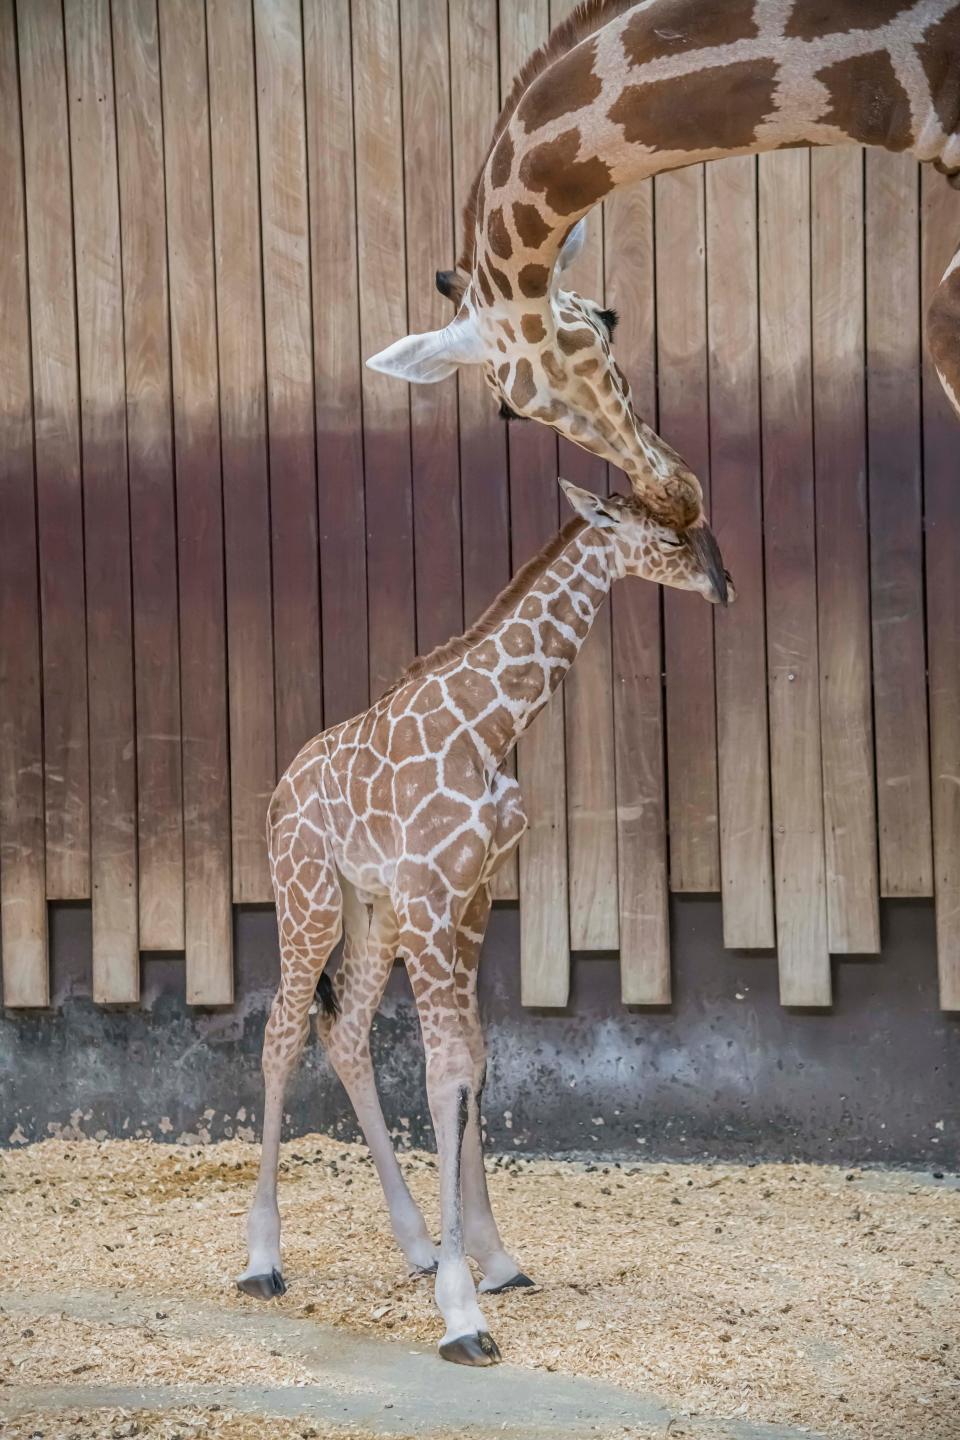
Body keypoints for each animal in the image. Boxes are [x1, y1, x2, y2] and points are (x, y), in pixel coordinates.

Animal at [240, 480, 736, 1359]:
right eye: (673, 538)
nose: (725, 586)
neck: (490, 723)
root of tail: (281, 789)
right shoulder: (433, 895)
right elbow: (444, 1077)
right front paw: (462, 1313)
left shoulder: (472, 896)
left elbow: (474, 1062)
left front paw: (493, 1261)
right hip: (309, 898)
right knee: (282, 1031)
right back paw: (263, 1260)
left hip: (373, 914)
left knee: (344, 1027)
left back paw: (412, 1244)